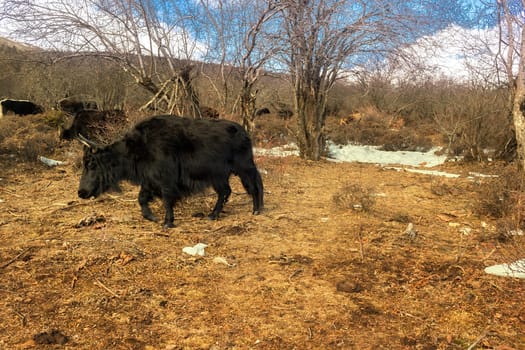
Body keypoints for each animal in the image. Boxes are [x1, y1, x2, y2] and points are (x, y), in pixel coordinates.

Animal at [75, 115, 264, 228]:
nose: (81, 192)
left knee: (255, 185)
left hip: (243, 167)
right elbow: (141, 198)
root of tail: (244, 132)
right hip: (219, 176)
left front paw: (167, 222)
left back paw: (256, 210)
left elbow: (167, 199)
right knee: (225, 191)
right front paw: (151, 217)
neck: (138, 148)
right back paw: (213, 215)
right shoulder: (149, 180)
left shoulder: (165, 180)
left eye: (91, 164)